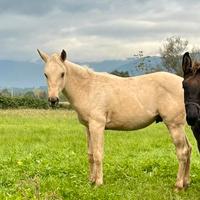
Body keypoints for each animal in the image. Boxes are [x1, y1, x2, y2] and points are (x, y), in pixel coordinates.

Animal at [37, 49, 191, 190]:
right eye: (45, 74)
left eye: (62, 74)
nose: (53, 100)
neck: (88, 88)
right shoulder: (88, 128)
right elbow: (90, 155)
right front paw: (91, 180)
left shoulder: (97, 126)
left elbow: (98, 154)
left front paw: (98, 183)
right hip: (179, 127)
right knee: (188, 149)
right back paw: (186, 183)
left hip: (174, 126)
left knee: (182, 152)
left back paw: (178, 185)